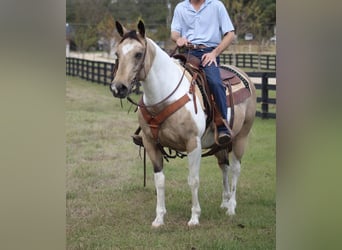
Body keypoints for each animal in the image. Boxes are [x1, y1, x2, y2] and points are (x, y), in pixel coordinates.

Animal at [110, 21, 256, 228]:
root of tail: (245, 76)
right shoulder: (151, 144)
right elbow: (159, 180)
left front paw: (194, 217)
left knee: (235, 168)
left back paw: (231, 208)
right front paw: (159, 218)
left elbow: (193, 180)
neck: (164, 96)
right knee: (224, 167)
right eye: (117, 54)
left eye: (138, 54)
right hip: (220, 143)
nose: (118, 88)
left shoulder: (193, 143)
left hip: (241, 137)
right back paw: (224, 201)